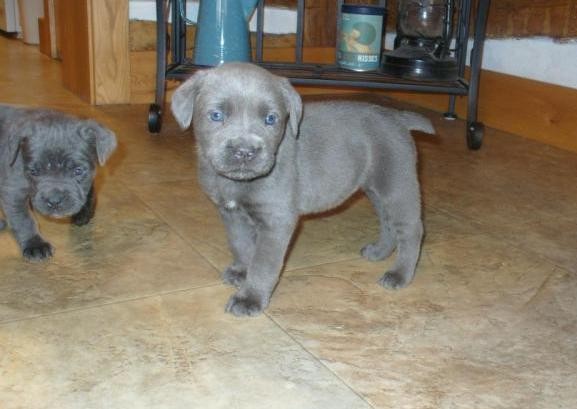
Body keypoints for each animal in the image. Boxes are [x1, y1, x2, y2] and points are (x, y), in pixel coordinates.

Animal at [0, 103, 117, 260]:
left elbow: (89, 192)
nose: (54, 201)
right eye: (34, 172)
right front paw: (35, 244)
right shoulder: (13, 191)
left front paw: (83, 213)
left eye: (78, 171)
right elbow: (23, 219)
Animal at [170, 63, 432, 316]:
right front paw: (241, 272)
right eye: (216, 115)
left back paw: (399, 275)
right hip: (377, 189)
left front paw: (249, 298)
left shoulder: (276, 220)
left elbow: (263, 264)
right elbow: (240, 245)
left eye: (271, 119)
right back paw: (379, 252)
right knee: (388, 223)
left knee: (412, 230)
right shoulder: (231, 214)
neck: (237, 183)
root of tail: (397, 117)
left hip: (398, 185)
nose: (245, 152)